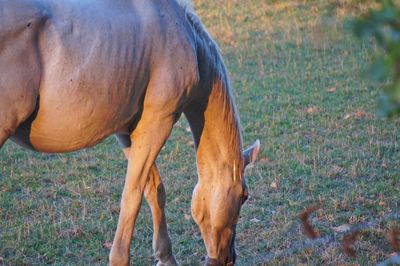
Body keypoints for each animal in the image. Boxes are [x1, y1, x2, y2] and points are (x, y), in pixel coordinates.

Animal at [0, 0, 260, 264]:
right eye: (244, 195)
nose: (229, 258)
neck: (187, 38)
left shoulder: (128, 132)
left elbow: (154, 189)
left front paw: (166, 257)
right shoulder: (157, 124)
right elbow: (132, 197)